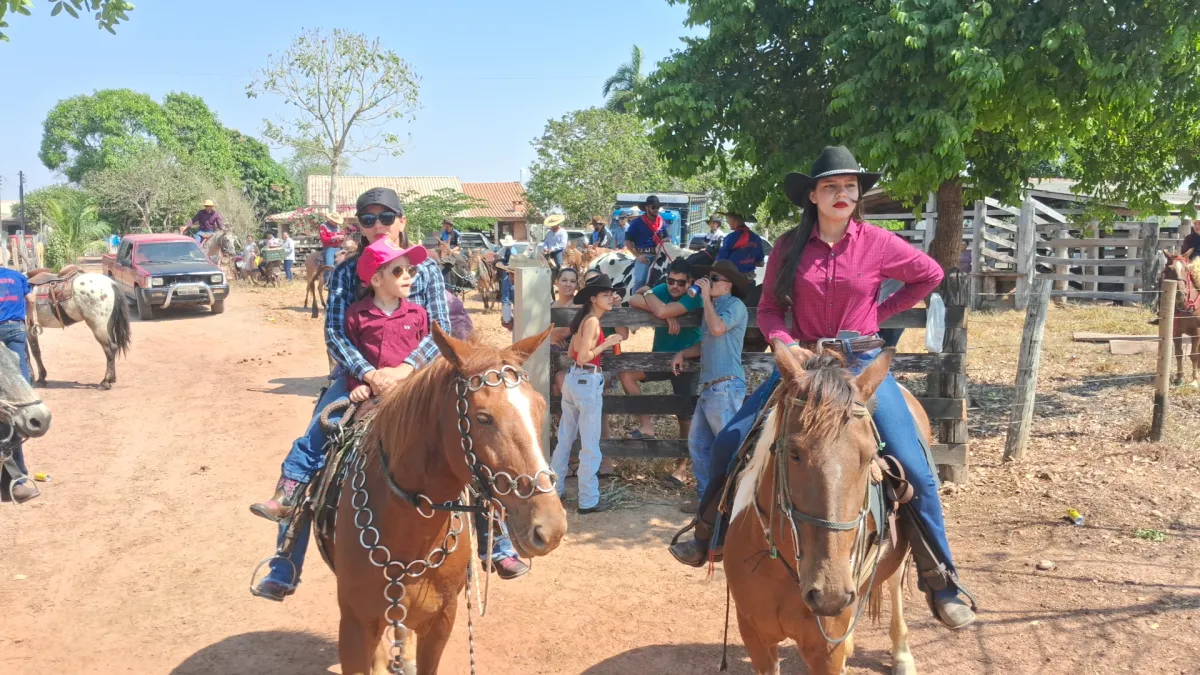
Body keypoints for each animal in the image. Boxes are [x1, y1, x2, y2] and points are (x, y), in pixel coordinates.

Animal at [316, 324, 564, 667]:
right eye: (483, 417)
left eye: (540, 407)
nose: (551, 527)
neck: (409, 535)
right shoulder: (354, 625)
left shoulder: (441, 621)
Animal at [720, 345, 916, 672]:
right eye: (794, 452)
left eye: (868, 456)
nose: (830, 593)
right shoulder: (755, 637)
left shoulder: (825, 651)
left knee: (894, 585)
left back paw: (902, 655)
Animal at [1156, 251, 1195, 384]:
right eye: (1168, 269)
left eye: (1187, 269)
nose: (1180, 294)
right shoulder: (1176, 332)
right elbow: (1179, 353)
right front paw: (1179, 377)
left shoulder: (1197, 333)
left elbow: (1194, 355)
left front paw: (1195, 379)